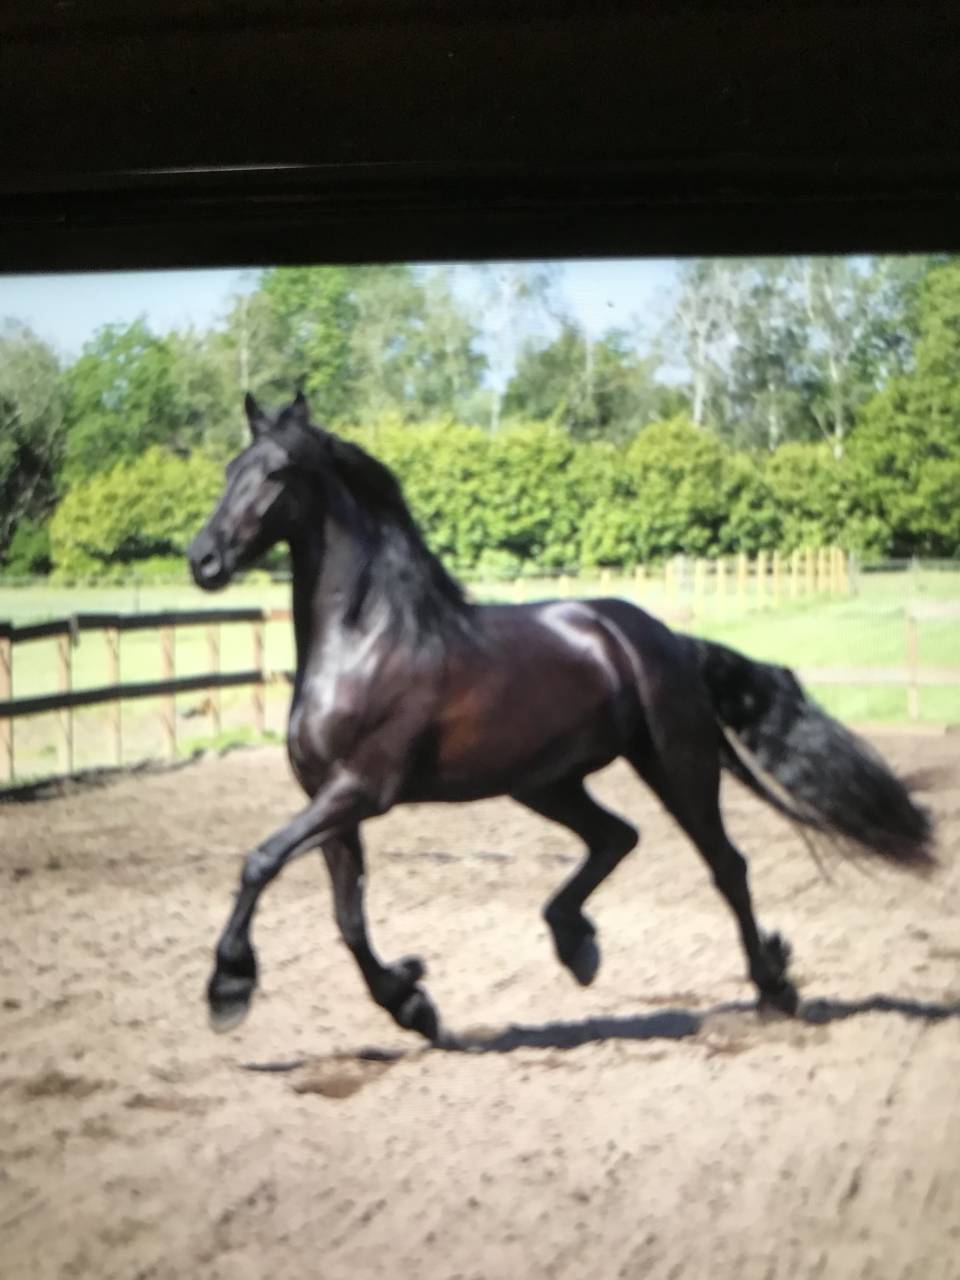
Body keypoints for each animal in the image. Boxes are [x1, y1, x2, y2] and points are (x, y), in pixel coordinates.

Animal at [187, 391, 934, 1047]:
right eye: (227, 470)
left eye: (276, 472)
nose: (203, 560)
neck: (367, 642)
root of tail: (668, 639)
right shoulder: (333, 804)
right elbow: (347, 918)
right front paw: (413, 1004)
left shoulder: (361, 790)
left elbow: (260, 862)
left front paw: (229, 988)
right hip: (545, 782)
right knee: (617, 836)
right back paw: (576, 942)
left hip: (677, 764)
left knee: (725, 865)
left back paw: (772, 988)